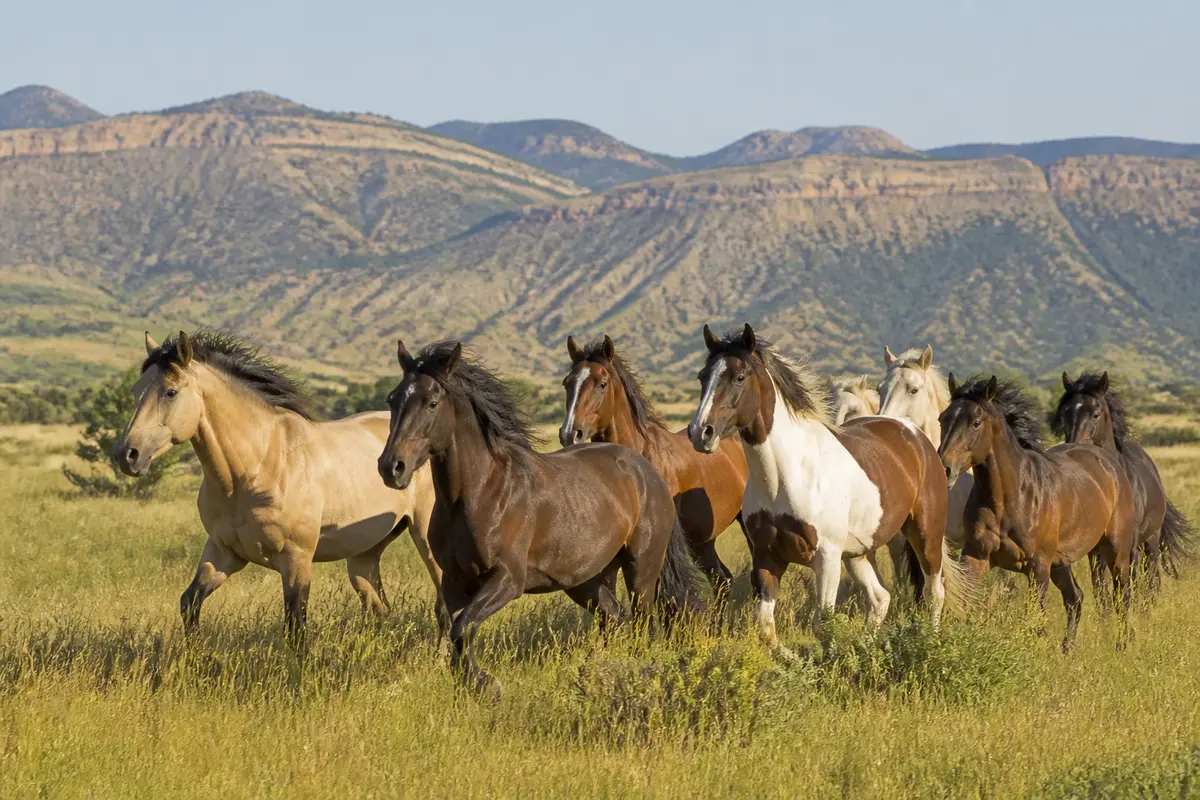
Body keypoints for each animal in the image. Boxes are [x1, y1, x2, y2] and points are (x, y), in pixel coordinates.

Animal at [114, 330, 445, 641]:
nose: (126, 454)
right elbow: (189, 603)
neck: (255, 469)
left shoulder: (296, 561)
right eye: (135, 390)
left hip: (426, 538)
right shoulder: (223, 553)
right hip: (364, 554)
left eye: (170, 392)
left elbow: (295, 626)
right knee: (379, 608)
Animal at [377, 339, 700, 698]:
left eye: (432, 402)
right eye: (393, 399)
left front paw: (488, 684)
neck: (480, 493)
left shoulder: (507, 579)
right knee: (613, 616)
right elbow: (455, 632)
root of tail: (647, 471)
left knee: (643, 623)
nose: (392, 467)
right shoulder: (454, 582)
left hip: (640, 569)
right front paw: (470, 684)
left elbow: (462, 628)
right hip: (586, 579)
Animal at [687, 324, 972, 653]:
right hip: (858, 554)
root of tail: (915, 435)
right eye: (702, 376)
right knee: (880, 599)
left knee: (933, 592)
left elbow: (822, 623)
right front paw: (792, 657)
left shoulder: (826, 560)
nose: (700, 433)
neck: (786, 476)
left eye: (739, 377)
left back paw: (930, 643)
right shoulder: (767, 556)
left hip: (926, 535)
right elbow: (765, 626)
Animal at [939, 375, 1137, 651]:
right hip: (1061, 562)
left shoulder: (1037, 567)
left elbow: (1034, 621)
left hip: (1114, 550)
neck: (1010, 498)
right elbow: (964, 604)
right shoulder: (976, 558)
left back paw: (1122, 645)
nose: (945, 468)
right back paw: (1067, 650)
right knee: (1075, 598)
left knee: (1122, 595)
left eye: (975, 423)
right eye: (942, 419)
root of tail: (1109, 462)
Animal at [1052, 371, 1196, 595]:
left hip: (1150, 540)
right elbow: (1100, 588)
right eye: (1066, 412)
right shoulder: (1095, 550)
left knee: (1151, 578)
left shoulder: (1130, 545)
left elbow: (1131, 582)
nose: (1073, 447)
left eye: (1095, 414)